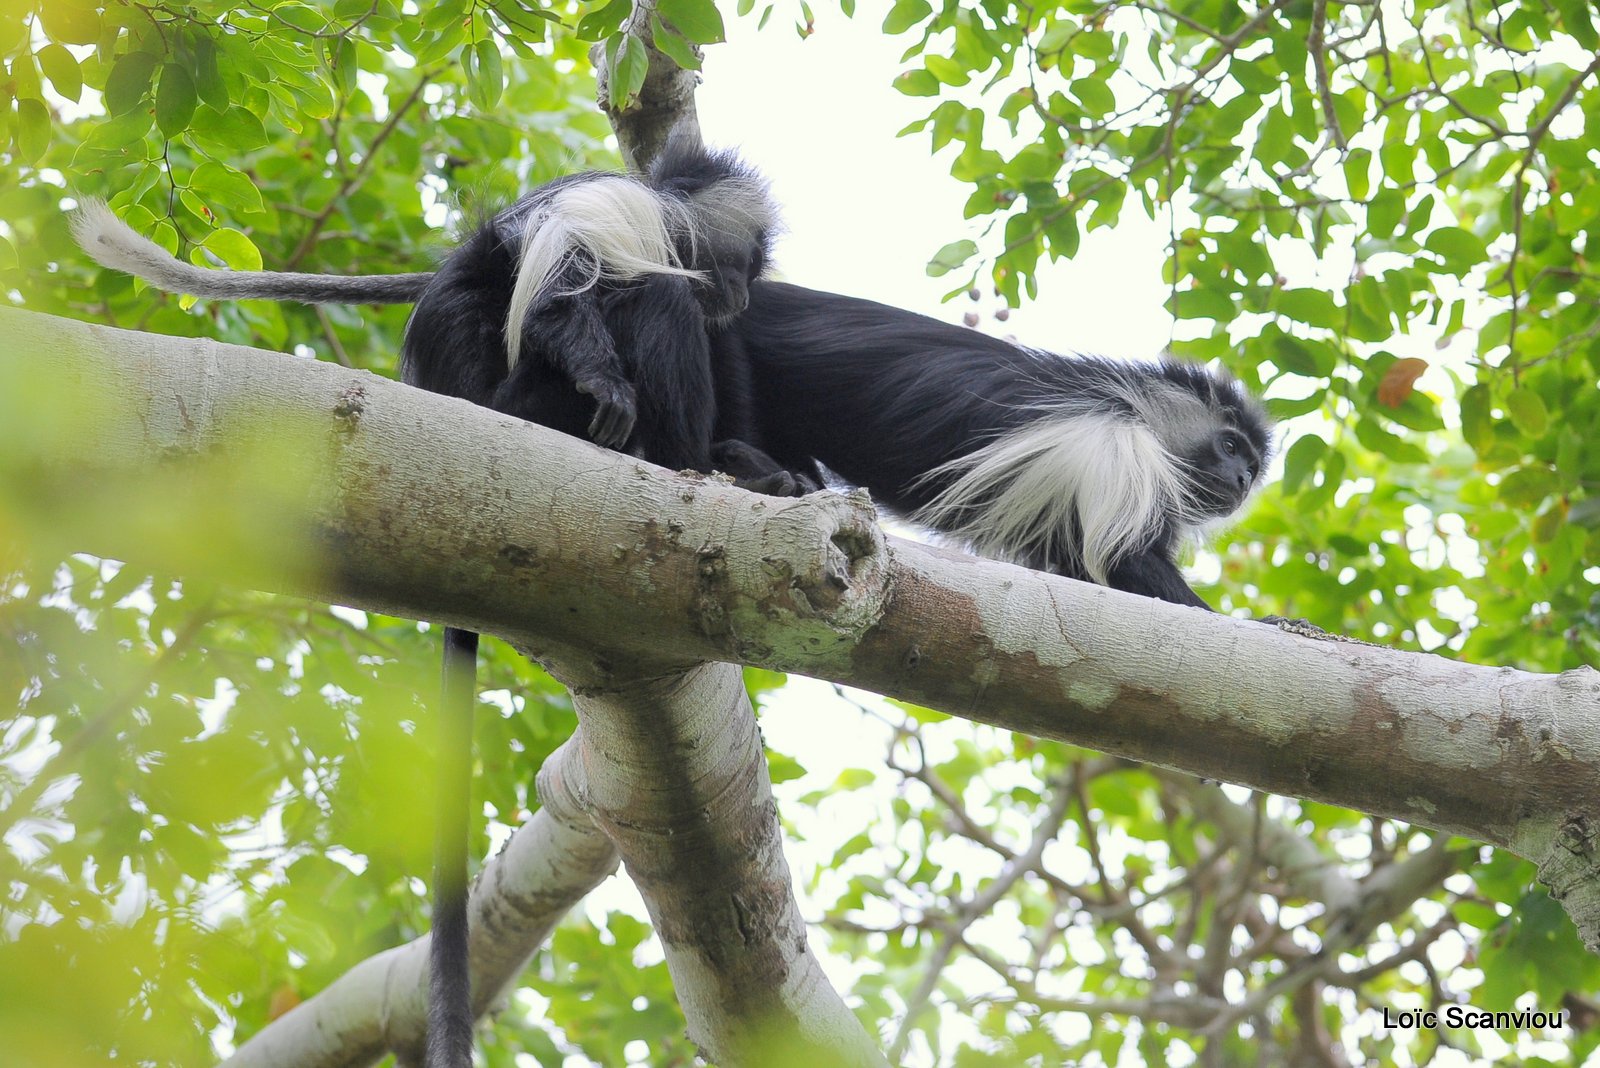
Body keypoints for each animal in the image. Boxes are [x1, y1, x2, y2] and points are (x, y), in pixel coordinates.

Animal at [73, 137, 793, 1068]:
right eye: (746, 259)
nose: (738, 294)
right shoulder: (619, 214)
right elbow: (565, 292)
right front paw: (614, 376)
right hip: (532, 405)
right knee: (644, 304)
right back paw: (684, 460)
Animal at [707, 282, 1267, 607]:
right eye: (1231, 446)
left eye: (1252, 465)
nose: (1242, 480)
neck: (1141, 413)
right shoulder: (1115, 448)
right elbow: (1124, 561)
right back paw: (758, 472)